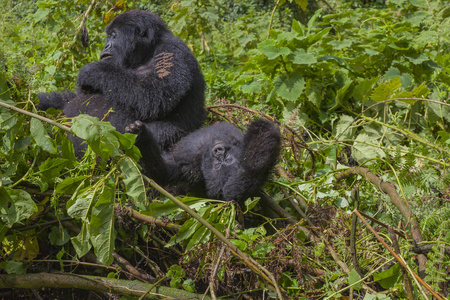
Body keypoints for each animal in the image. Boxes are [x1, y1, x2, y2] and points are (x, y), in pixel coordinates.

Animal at [37, 9, 207, 155]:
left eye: (114, 35)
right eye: (108, 36)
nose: (106, 45)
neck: (146, 52)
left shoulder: (171, 51)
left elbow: (156, 95)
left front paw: (94, 71)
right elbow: (72, 97)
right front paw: (41, 101)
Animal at [127, 118, 282, 203]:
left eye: (220, 163)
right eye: (222, 157)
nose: (218, 152)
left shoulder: (192, 170)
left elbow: (162, 175)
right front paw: (142, 136)